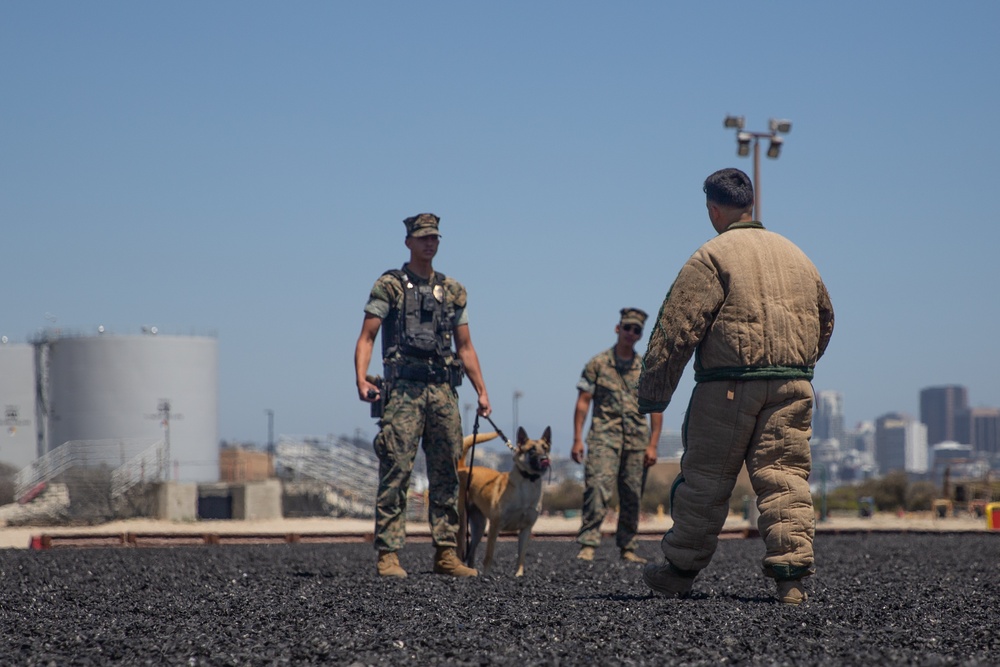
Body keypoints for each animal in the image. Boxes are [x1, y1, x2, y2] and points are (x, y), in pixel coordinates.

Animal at [458, 430, 552, 576]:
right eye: (531, 450)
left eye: (545, 448)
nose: (544, 459)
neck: (527, 483)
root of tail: (464, 467)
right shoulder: (495, 526)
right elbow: (489, 555)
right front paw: (487, 575)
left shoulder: (526, 529)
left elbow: (521, 556)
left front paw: (518, 575)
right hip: (463, 521)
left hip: (479, 526)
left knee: (471, 552)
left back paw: (471, 569)